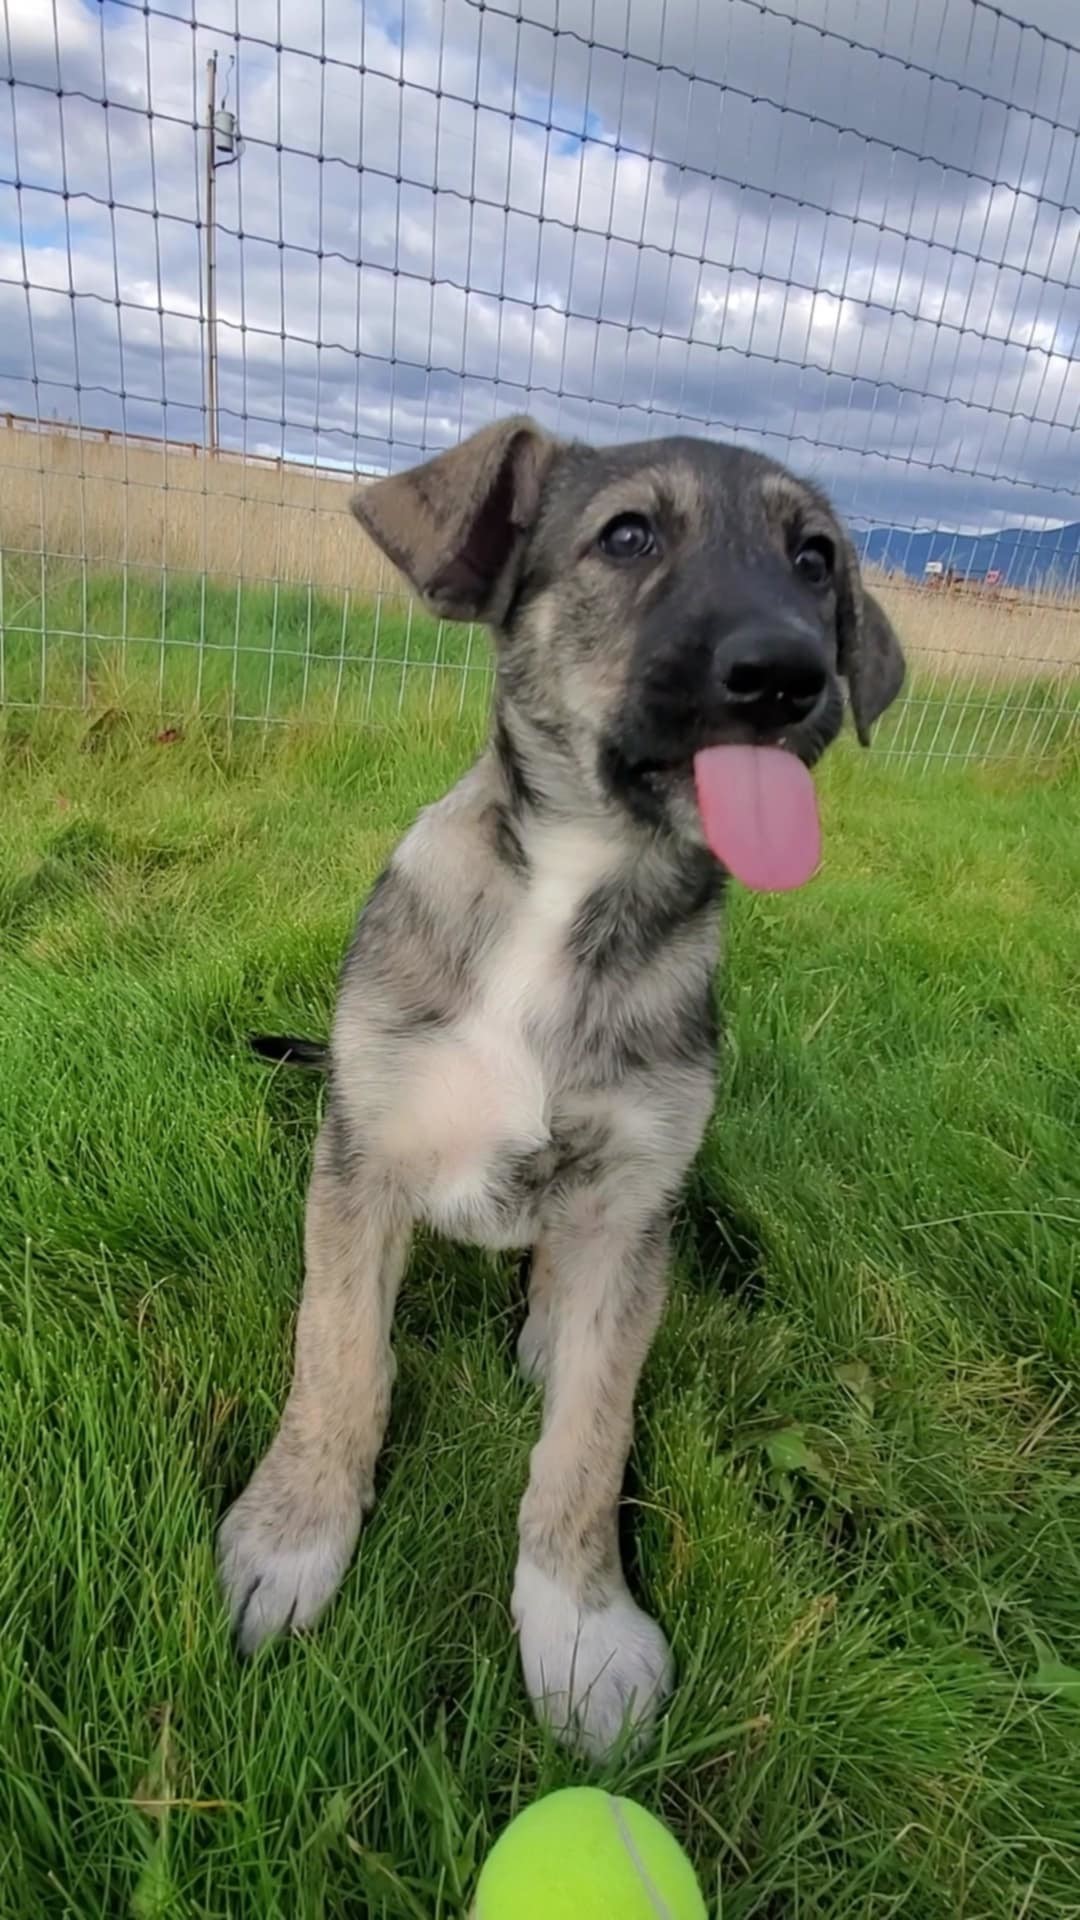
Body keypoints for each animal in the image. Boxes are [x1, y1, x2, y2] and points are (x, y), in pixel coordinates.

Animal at [216, 416, 899, 1758]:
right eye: (625, 536)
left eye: (816, 560)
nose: (786, 678)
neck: (575, 891)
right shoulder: (362, 1160)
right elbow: (338, 1357)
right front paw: (293, 1537)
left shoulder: (636, 1198)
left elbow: (589, 1438)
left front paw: (580, 1630)